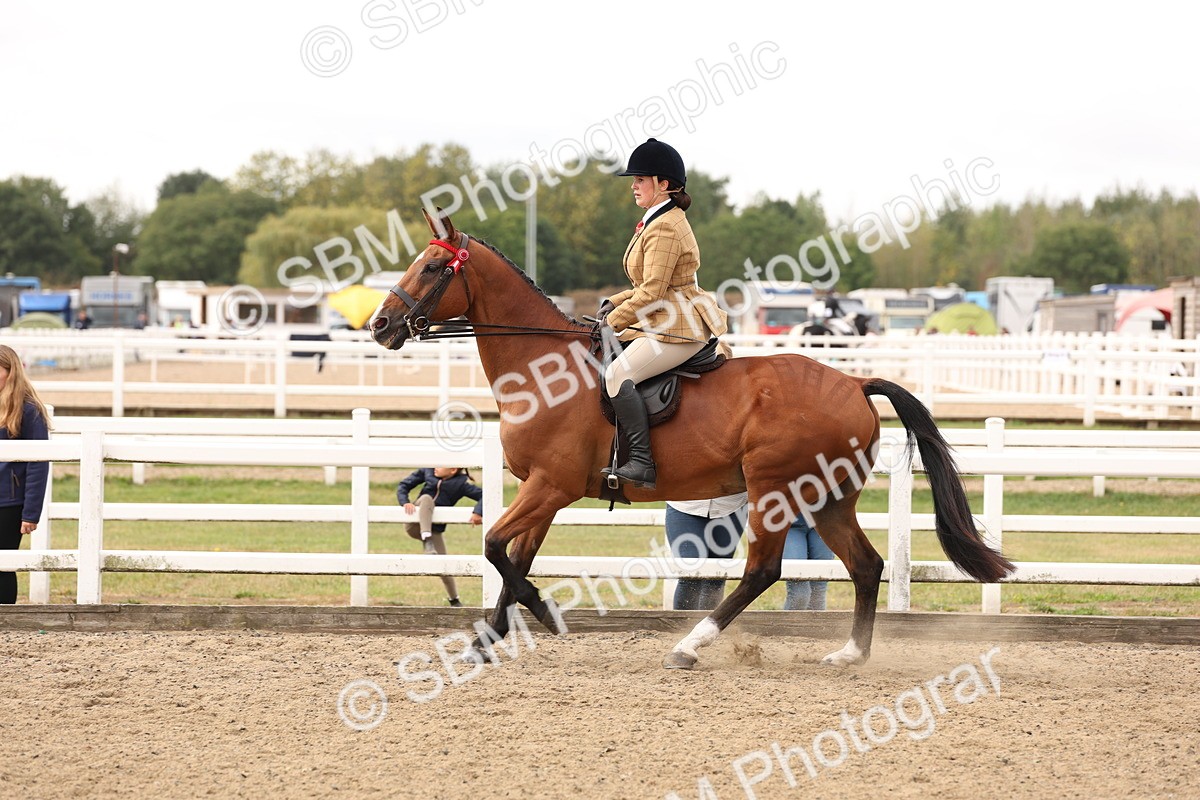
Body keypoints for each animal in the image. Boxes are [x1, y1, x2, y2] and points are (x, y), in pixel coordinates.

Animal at [370, 209, 1014, 670]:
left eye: (433, 268)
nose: (379, 326)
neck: (542, 368)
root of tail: (854, 382)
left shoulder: (550, 487)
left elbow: (496, 549)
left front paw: (544, 615)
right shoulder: (542, 492)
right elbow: (511, 556)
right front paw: (489, 640)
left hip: (775, 490)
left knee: (764, 570)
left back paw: (689, 646)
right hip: (827, 497)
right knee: (865, 564)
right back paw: (850, 653)